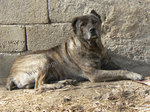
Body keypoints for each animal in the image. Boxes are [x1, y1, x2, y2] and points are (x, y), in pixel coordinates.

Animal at [5, 10, 143, 90]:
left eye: (94, 21)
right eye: (82, 25)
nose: (92, 29)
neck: (93, 47)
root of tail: (11, 73)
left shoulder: (108, 64)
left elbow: (121, 68)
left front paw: (132, 71)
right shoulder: (94, 73)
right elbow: (118, 71)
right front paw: (134, 75)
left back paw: (66, 81)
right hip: (43, 59)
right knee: (38, 85)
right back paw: (59, 84)